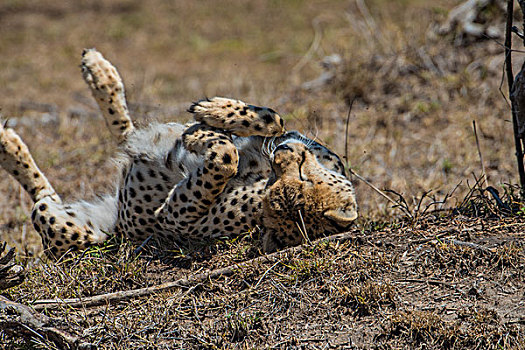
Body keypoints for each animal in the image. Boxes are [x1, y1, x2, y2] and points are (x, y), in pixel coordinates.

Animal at [0, 49, 356, 256]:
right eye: (305, 176)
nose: (285, 153)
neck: (264, 176)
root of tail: (116, 224)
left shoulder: (174, 219)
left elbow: (224, 158)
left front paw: (203, 135)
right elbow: (273, 120)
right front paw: (219, 115)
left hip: (67, 227)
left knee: (45, 195)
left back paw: (8, 144)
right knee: (129, 133)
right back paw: (100, 73)